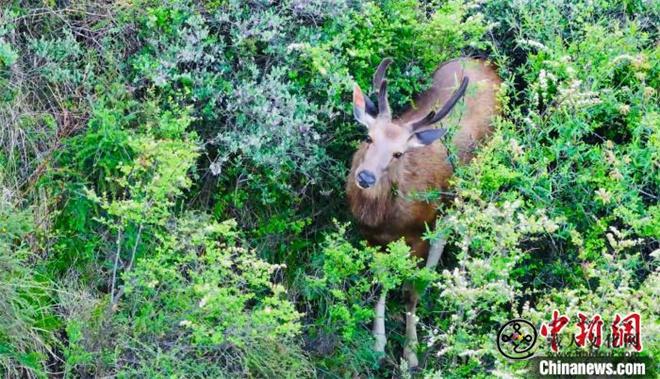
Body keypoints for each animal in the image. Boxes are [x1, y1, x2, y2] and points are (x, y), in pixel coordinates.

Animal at [346, 58, 500, 370]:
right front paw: (378, 345)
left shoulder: (419, 235)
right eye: (368, 137)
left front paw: (411, 354)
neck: (385, 220)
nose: (365, 177)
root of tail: (483, 63)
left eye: (398, 153)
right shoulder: (368, 236)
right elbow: (381, 281)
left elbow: (410, 290)